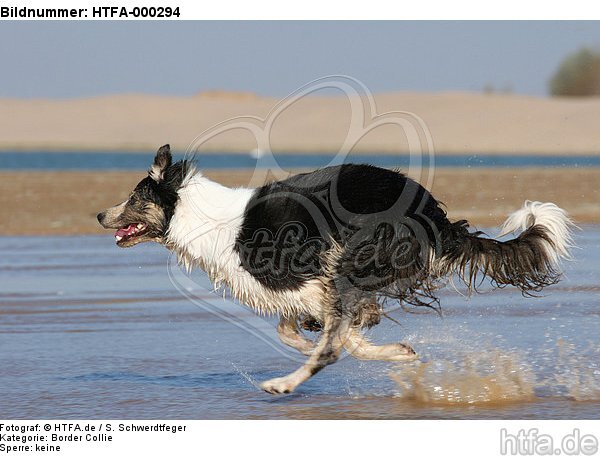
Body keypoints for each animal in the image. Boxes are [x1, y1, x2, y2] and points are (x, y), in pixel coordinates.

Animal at [98, 145, 576, 392]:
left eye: (135, 197)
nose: (100, 215)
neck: (194, 213)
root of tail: (434, 216)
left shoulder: (309, 279)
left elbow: (333, 337)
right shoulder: (304, 292)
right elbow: (303, 331)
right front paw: (391, 350)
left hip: (354, 257)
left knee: (331, 347)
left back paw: (284, 384)